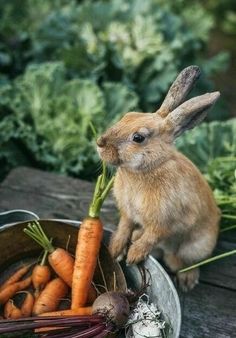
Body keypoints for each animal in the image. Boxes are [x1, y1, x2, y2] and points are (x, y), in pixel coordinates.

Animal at [96, 66, 221, 290]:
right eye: (128, 115)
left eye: (138, 138)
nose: (100, 143)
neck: (145, 170)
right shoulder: (128, 213)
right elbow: (124, 226)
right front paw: (116, 249)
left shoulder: (164, 221)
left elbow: (152, 236)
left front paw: (134, 255)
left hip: (197, 245)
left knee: (185, 260)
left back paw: (187, 280)